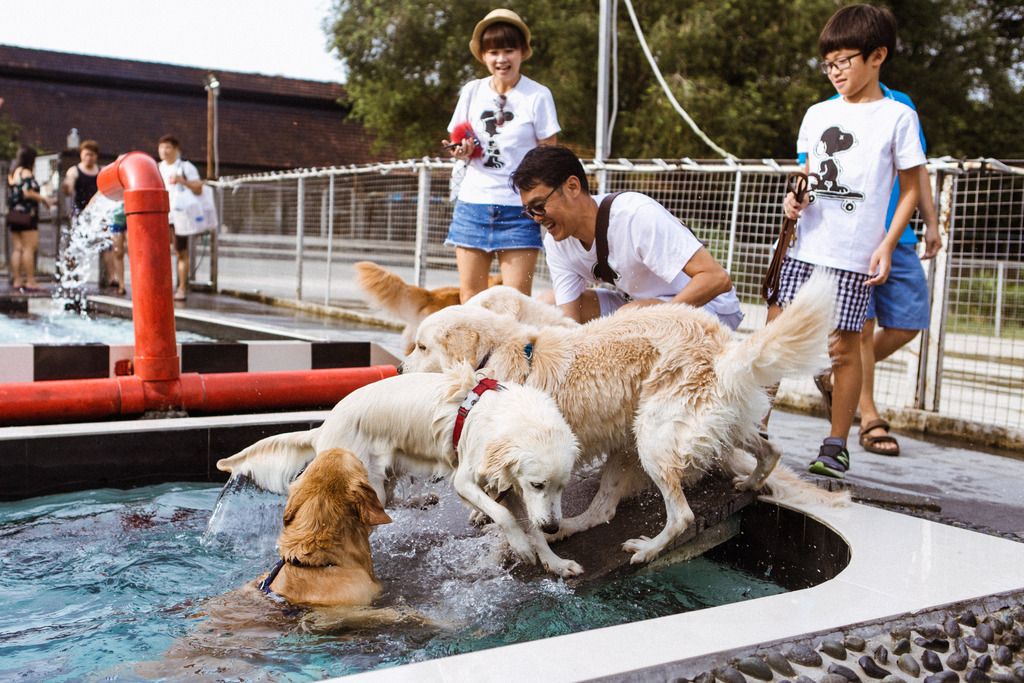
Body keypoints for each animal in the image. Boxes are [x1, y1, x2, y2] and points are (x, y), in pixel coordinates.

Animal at [216, 362, 585, 577]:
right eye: (538, 484)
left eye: (561, 487)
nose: (555, 526)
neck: (507, 416)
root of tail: (324, 427)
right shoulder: (466, 480)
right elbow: (507, 518)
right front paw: (522, 547)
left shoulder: (509, 486)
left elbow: (529, 525)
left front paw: (555, 562)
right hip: (368, 478)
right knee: (378, 508)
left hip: (384, 474)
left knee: (390, 503)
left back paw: (423, 500)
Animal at [403, 272, 843, 565]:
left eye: (422, 346)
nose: (401, 369)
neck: (497, 354)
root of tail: (722, 345)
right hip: (701, 425)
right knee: (769, 449)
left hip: (653, 435)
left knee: (682, 515)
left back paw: (646, 549)